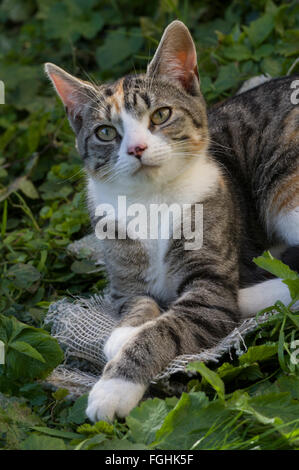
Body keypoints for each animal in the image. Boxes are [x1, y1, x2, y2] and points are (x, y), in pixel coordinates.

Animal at [45, 20, 299, 422]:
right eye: (106, 132)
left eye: (161, 115)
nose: (136, 148)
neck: (152, 198)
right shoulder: (124, 280)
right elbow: (136, 303)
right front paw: (124, 333)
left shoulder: (210, 289)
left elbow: (168, 328)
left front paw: (114, 387)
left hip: (285, 186)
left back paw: (250, 296)